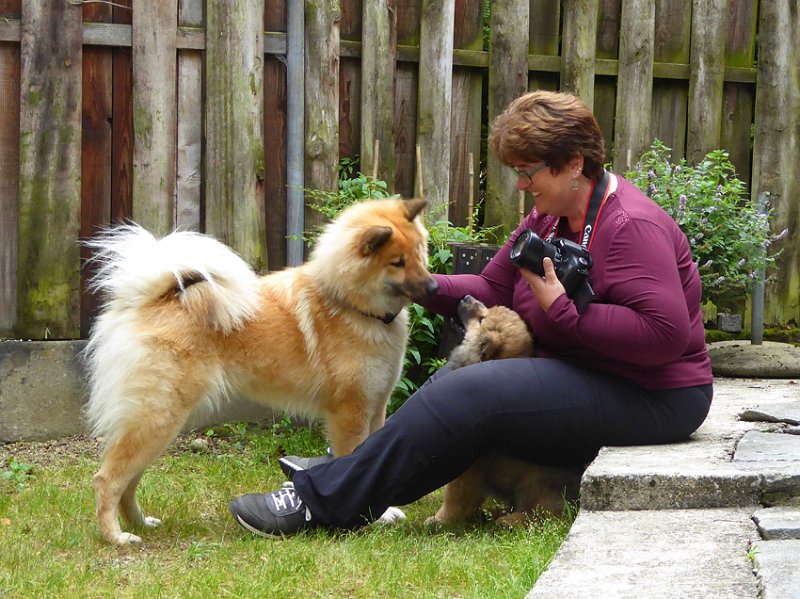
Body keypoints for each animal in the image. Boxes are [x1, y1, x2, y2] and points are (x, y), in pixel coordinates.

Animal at [83, 199, 438, 548]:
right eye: (397, 262)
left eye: (421, 253)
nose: (435, 287)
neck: (349, 304)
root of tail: (147, 300)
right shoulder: (350, 413)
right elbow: (359, 465)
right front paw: (372, 518)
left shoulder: (375, 407)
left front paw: (385, 512)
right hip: (158, 418)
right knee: (107, 479)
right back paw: (115, 536)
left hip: (158, 424)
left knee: (128, 481)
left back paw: (140, 523)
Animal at [432, 298, 580, 528]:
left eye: (481, 319)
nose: (466, 297)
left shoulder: (469, 467)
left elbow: (455, 496)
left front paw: (441, 521)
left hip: (532, 481)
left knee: (547, 516)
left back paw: (508, 521)